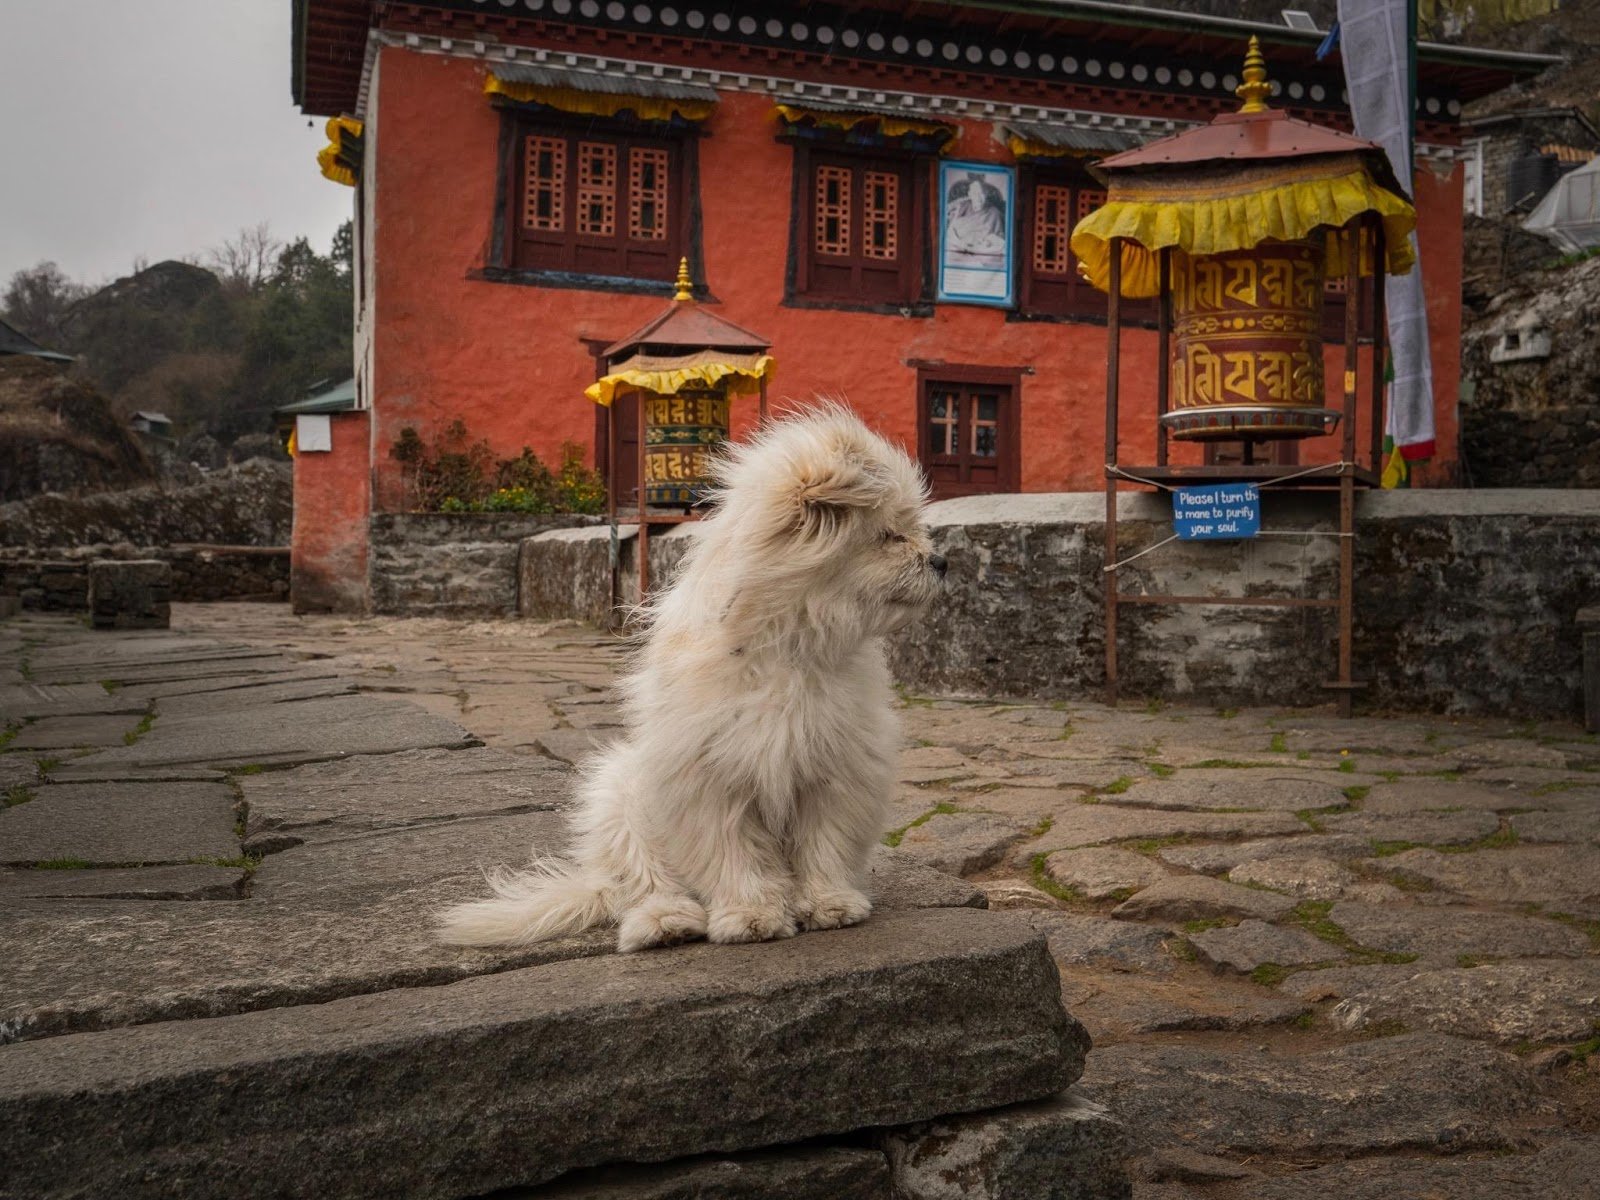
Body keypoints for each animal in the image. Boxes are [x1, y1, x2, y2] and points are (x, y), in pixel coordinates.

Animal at [432, 409, 940, 953]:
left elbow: (824, 844)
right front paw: (750, 913)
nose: (942, 561)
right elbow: (734, 856)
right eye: (889, 536)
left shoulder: (834, 769)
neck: (787, 647)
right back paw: (666, 922)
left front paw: (829, 903)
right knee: (646, 882)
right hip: (623, 800)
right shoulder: (711, 779)